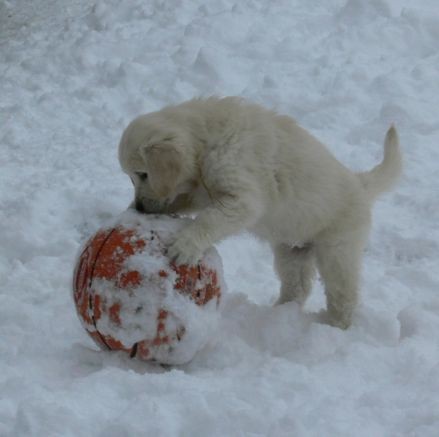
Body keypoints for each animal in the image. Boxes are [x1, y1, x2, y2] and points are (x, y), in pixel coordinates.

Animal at [117, 95, 402, 328]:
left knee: (343, 293)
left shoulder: (242, 199)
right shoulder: (202, 190)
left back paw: (335, 325)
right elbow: (186, 200)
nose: (140, 208)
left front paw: (185, 245)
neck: (208, 138)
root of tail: (360, 183)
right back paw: (279, 314)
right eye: (131, 177)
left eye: (142, 174)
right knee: (298, 286)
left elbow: (210, 219)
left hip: (338, 250)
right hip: (292, 252)